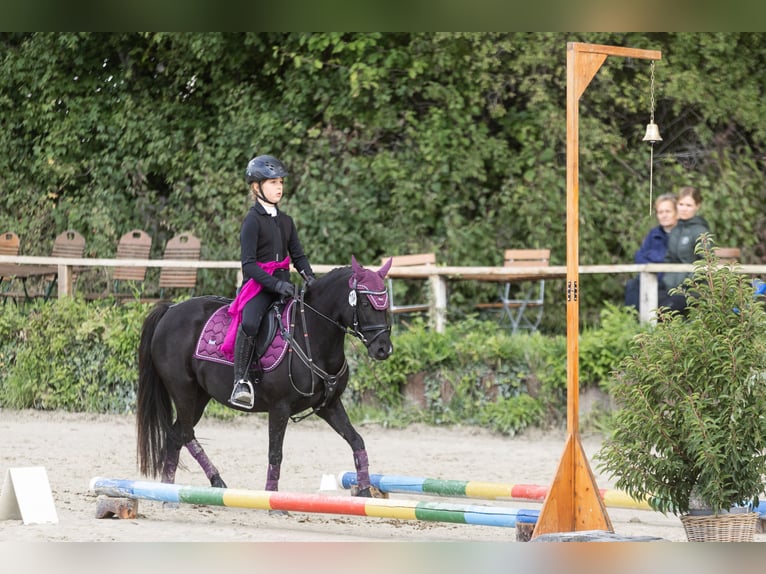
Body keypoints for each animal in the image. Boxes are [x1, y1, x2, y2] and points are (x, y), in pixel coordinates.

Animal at [136, 255, 394, 497]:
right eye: (364, 303)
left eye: (385, 303)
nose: (383, 349)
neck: (311, 335)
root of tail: (170, 311)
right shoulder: (279, 407)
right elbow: (275, 453)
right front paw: (273, 500)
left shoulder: (328, 405)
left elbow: (356, 440)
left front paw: (364, 491)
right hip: (184, 391)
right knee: (185, 433)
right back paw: (209, 482)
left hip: (200, 396)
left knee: (176, 435)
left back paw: (171, 489)